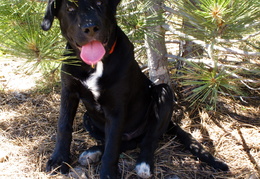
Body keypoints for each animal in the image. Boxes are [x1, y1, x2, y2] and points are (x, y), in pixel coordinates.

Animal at [41, 0, 229, 178]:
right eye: (70, 8)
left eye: (100, 3)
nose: (90, 27)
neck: (94, 66)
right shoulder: (68, 92)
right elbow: (63, 127)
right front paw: (58, 160)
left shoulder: (116, 108)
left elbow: (112, 147)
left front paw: (108, 174)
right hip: (88, 118)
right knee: (126, 143)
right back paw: (92, 152)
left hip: (163, 93)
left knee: (148, 139)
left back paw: (143, 164)